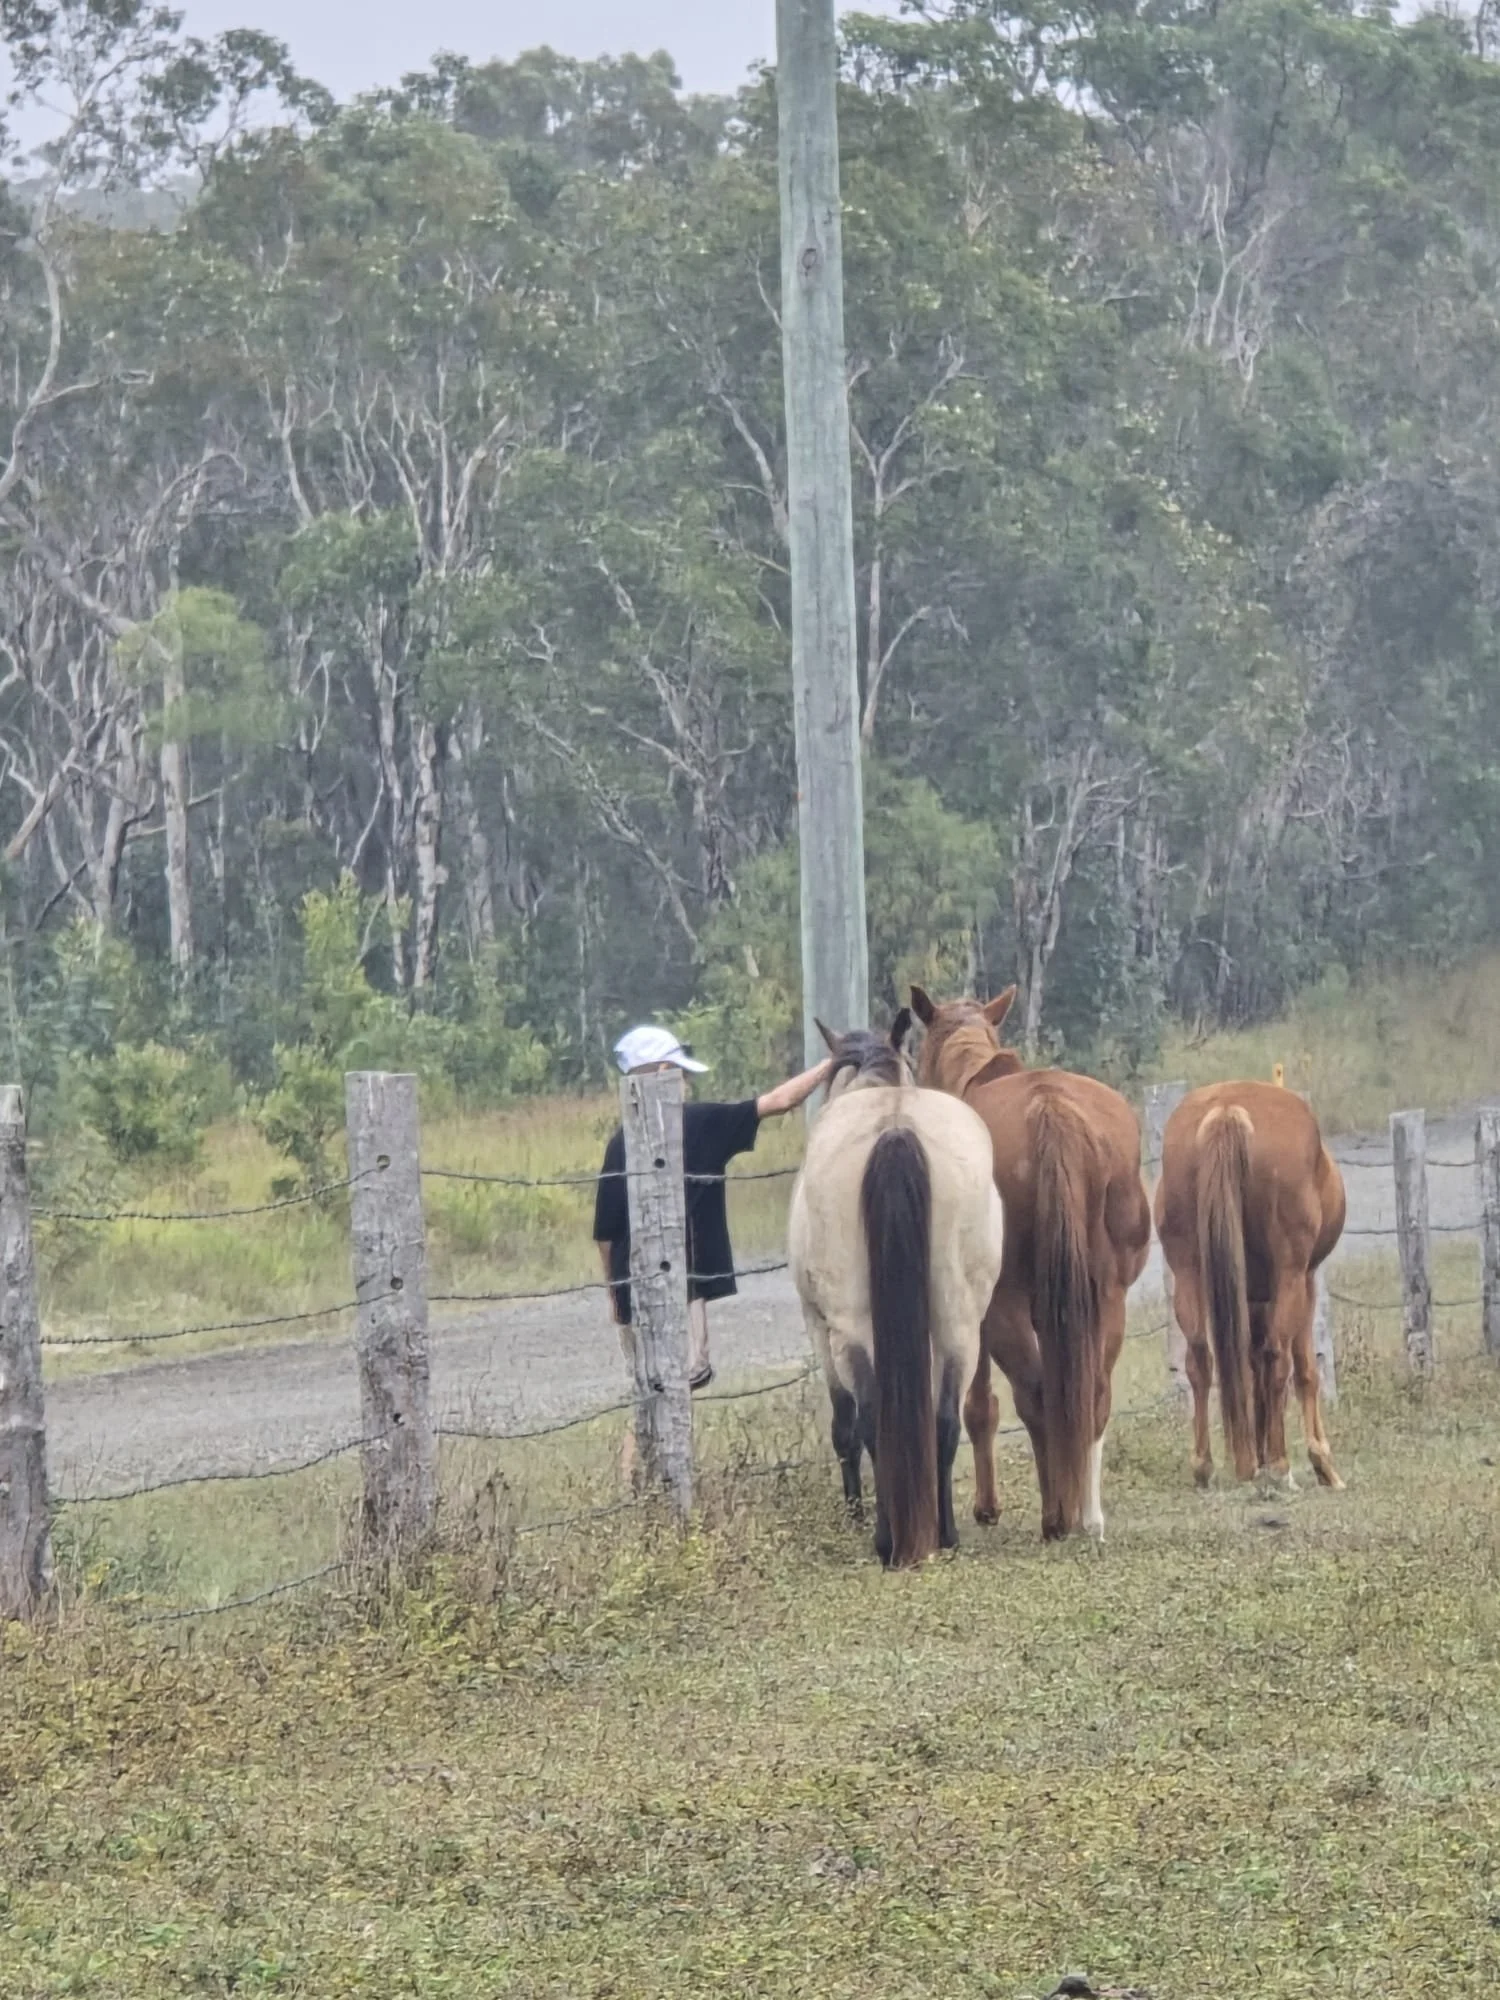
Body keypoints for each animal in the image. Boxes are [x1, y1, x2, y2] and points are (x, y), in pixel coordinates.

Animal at [788, 1015, 1006, 1568]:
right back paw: (944, 1533)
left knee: (870, 1420)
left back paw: (887, 1539)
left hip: (851, 1328)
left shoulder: (817, 1325)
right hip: (958, 1323)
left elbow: (844, 1425)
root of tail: (895, 1128)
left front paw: (853, 1510)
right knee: (945, 1419)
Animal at [910, 984, 1152, 1541]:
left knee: (1037, 1391)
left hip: (1005, 1305)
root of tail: (1051, 1110)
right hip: (1108, 1296)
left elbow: (980, 1404)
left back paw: (1057, 1516)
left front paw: (987, 1506)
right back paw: (1088, 1514)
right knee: (1092, 1394)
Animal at [1154, 1081, 1345, 1492]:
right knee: (1277, 1356)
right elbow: (1305, 1370)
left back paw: (1205, 1466)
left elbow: (1248, 1363)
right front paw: (1321, 1462)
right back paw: (1280, 1466)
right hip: (1291, 1275)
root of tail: (1227, 1110)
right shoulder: (1303, 1281)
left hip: (1187, 1272)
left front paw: (1253, 1456)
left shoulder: (1252, 1297)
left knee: (1200, 1358)